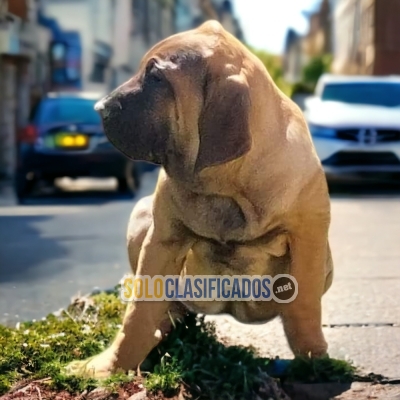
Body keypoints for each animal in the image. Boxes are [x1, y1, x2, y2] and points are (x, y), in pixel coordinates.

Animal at [70, 20, 332, 378]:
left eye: (157, 78)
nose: (99, 108)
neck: (226, 187)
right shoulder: (162, 239)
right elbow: (138, 313)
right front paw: (109, 367)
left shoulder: (309, 238)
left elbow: (305, 302)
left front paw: (314, 358)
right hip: (141, 215)